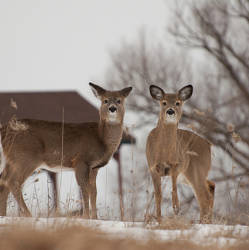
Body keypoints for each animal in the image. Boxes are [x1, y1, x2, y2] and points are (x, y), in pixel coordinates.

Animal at [0, 83, 132, 218]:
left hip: (12, 159)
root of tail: (4, 130)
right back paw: (29, 215)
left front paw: (95, 218)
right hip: (25, 158)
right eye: (105, 100)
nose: (112, 108)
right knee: (13, 182)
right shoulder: (81, 161)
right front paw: (86, 217)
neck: (101, 138)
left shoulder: (94, 167)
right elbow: (85, 190)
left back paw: (4, 215)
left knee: (3, 182)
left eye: (119, 100)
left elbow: (94, 192)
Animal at [147, 85, 215, 224]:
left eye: (178, 102)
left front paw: (176, 207)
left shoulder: (177, 165)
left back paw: (204, 222)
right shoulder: (153, 168)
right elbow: (158, 195)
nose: (170, 111)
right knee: (210, 188)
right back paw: (205, 221)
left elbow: (173, 189)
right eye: (164, 102)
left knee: (204, 196)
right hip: (190, 176)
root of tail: (208, 144)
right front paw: (159, 219)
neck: (163, 151)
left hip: (196, 171)